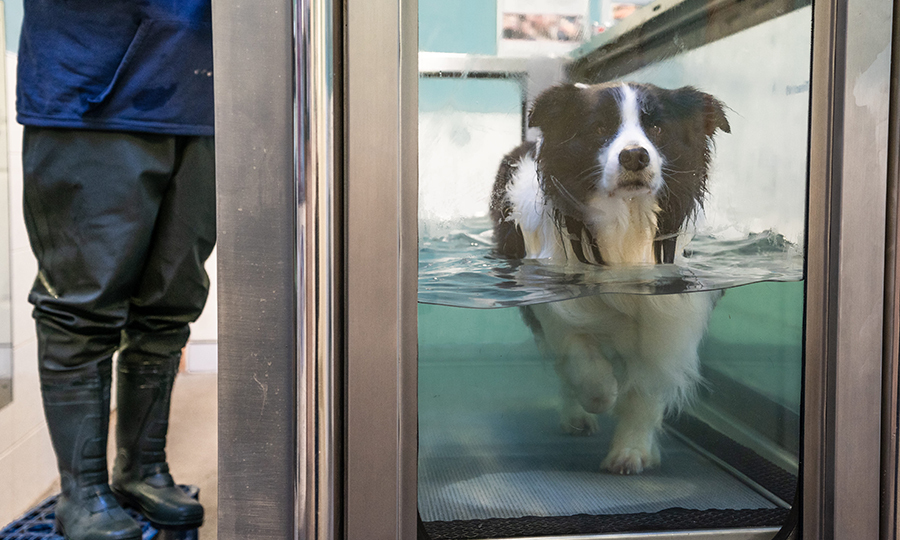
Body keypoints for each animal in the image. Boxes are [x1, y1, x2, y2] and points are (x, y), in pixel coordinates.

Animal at [492, 81, 732, 472]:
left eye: (657, 128)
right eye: (600, 128)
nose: (635, 157)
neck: (626, 222)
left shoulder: (668, 316)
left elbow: (646, 387)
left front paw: (632, 450)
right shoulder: (550, 297)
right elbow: (579, 355)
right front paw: (601, 397)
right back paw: (577, 416)